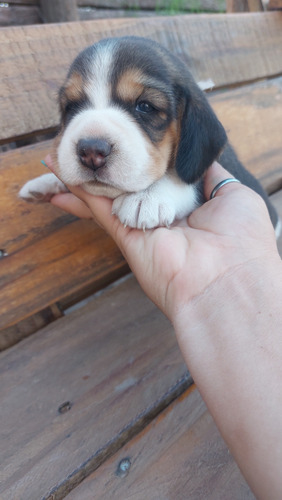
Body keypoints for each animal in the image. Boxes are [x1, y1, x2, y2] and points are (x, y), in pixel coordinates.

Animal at [19, 36, 278, 231]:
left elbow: (180, 179)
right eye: (72, 107)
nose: (91, 151)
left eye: (144, 106)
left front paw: (146, 198)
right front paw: (47, 181)